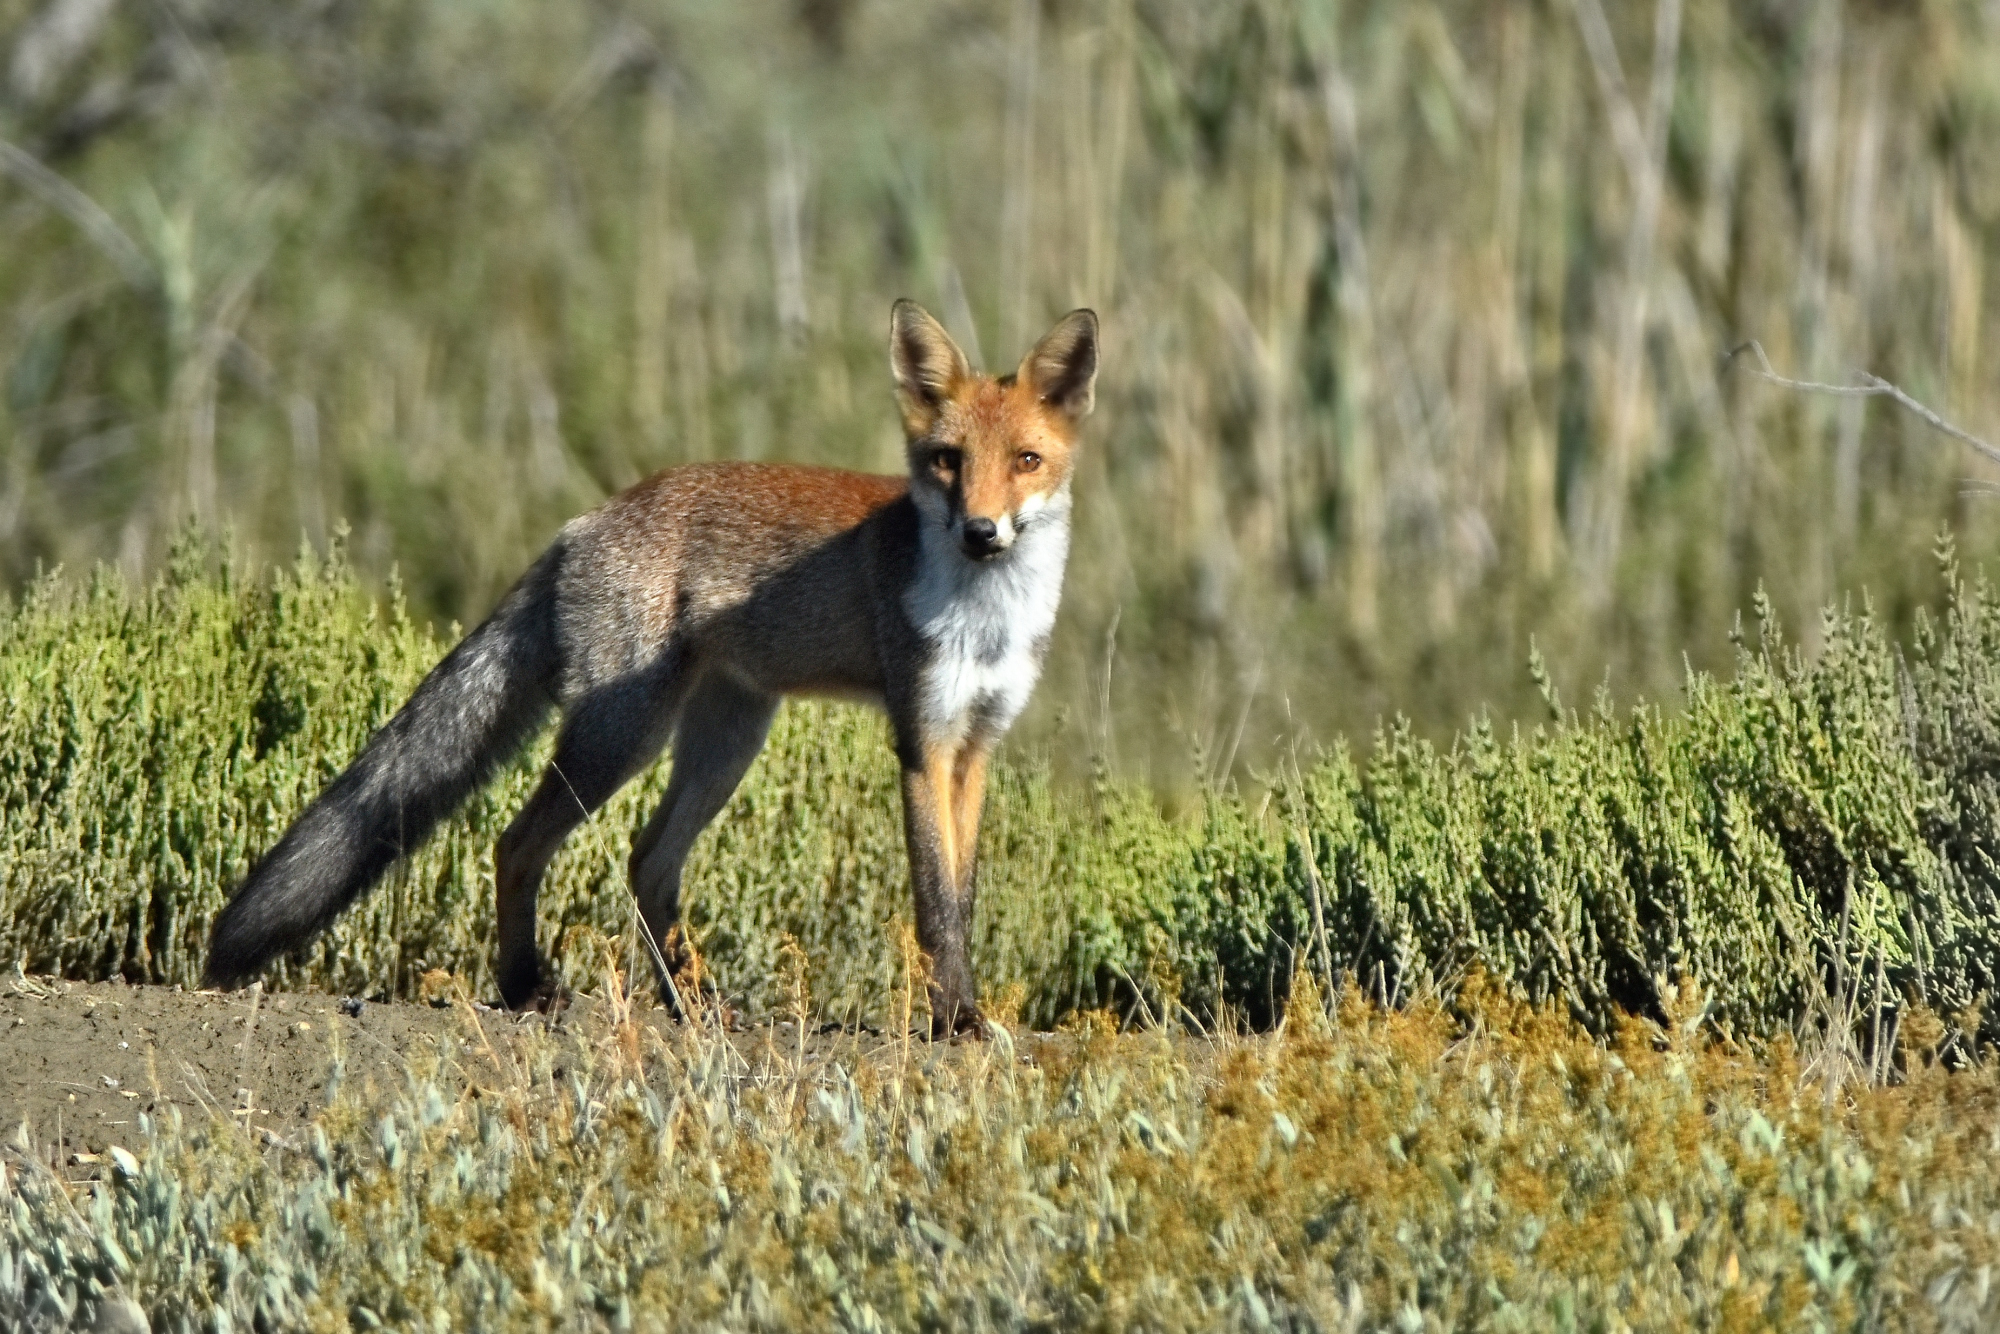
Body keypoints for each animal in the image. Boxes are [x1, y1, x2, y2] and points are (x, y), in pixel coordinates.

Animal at [203, 300, 1097, 1036]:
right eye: (947, 460)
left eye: (1025, 460)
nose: (980, 532)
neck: (987, 618)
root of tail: (583, 521)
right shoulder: (921, 739)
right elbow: (935, 902)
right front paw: (955, 1022)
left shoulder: (974, 745)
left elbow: (963, 899)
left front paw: (962, 1012)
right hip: (624, 734)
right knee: (516, 844)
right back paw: (527, 988)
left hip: (724, 742)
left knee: (647, 862)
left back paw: (691, 1005)